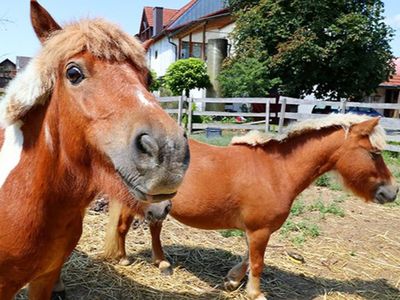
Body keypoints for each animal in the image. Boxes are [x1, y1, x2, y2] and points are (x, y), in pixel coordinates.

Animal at [104, 114, 398, 300]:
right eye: (375, 154)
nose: (392, 192)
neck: (277, 171)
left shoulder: (256, 229)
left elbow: (247, 256)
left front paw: (233, 280)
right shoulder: (260, 230)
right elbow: (257, 262)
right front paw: (255, 293)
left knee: (154, 228)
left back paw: (162, 262)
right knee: (123, 227)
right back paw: (124, 258)